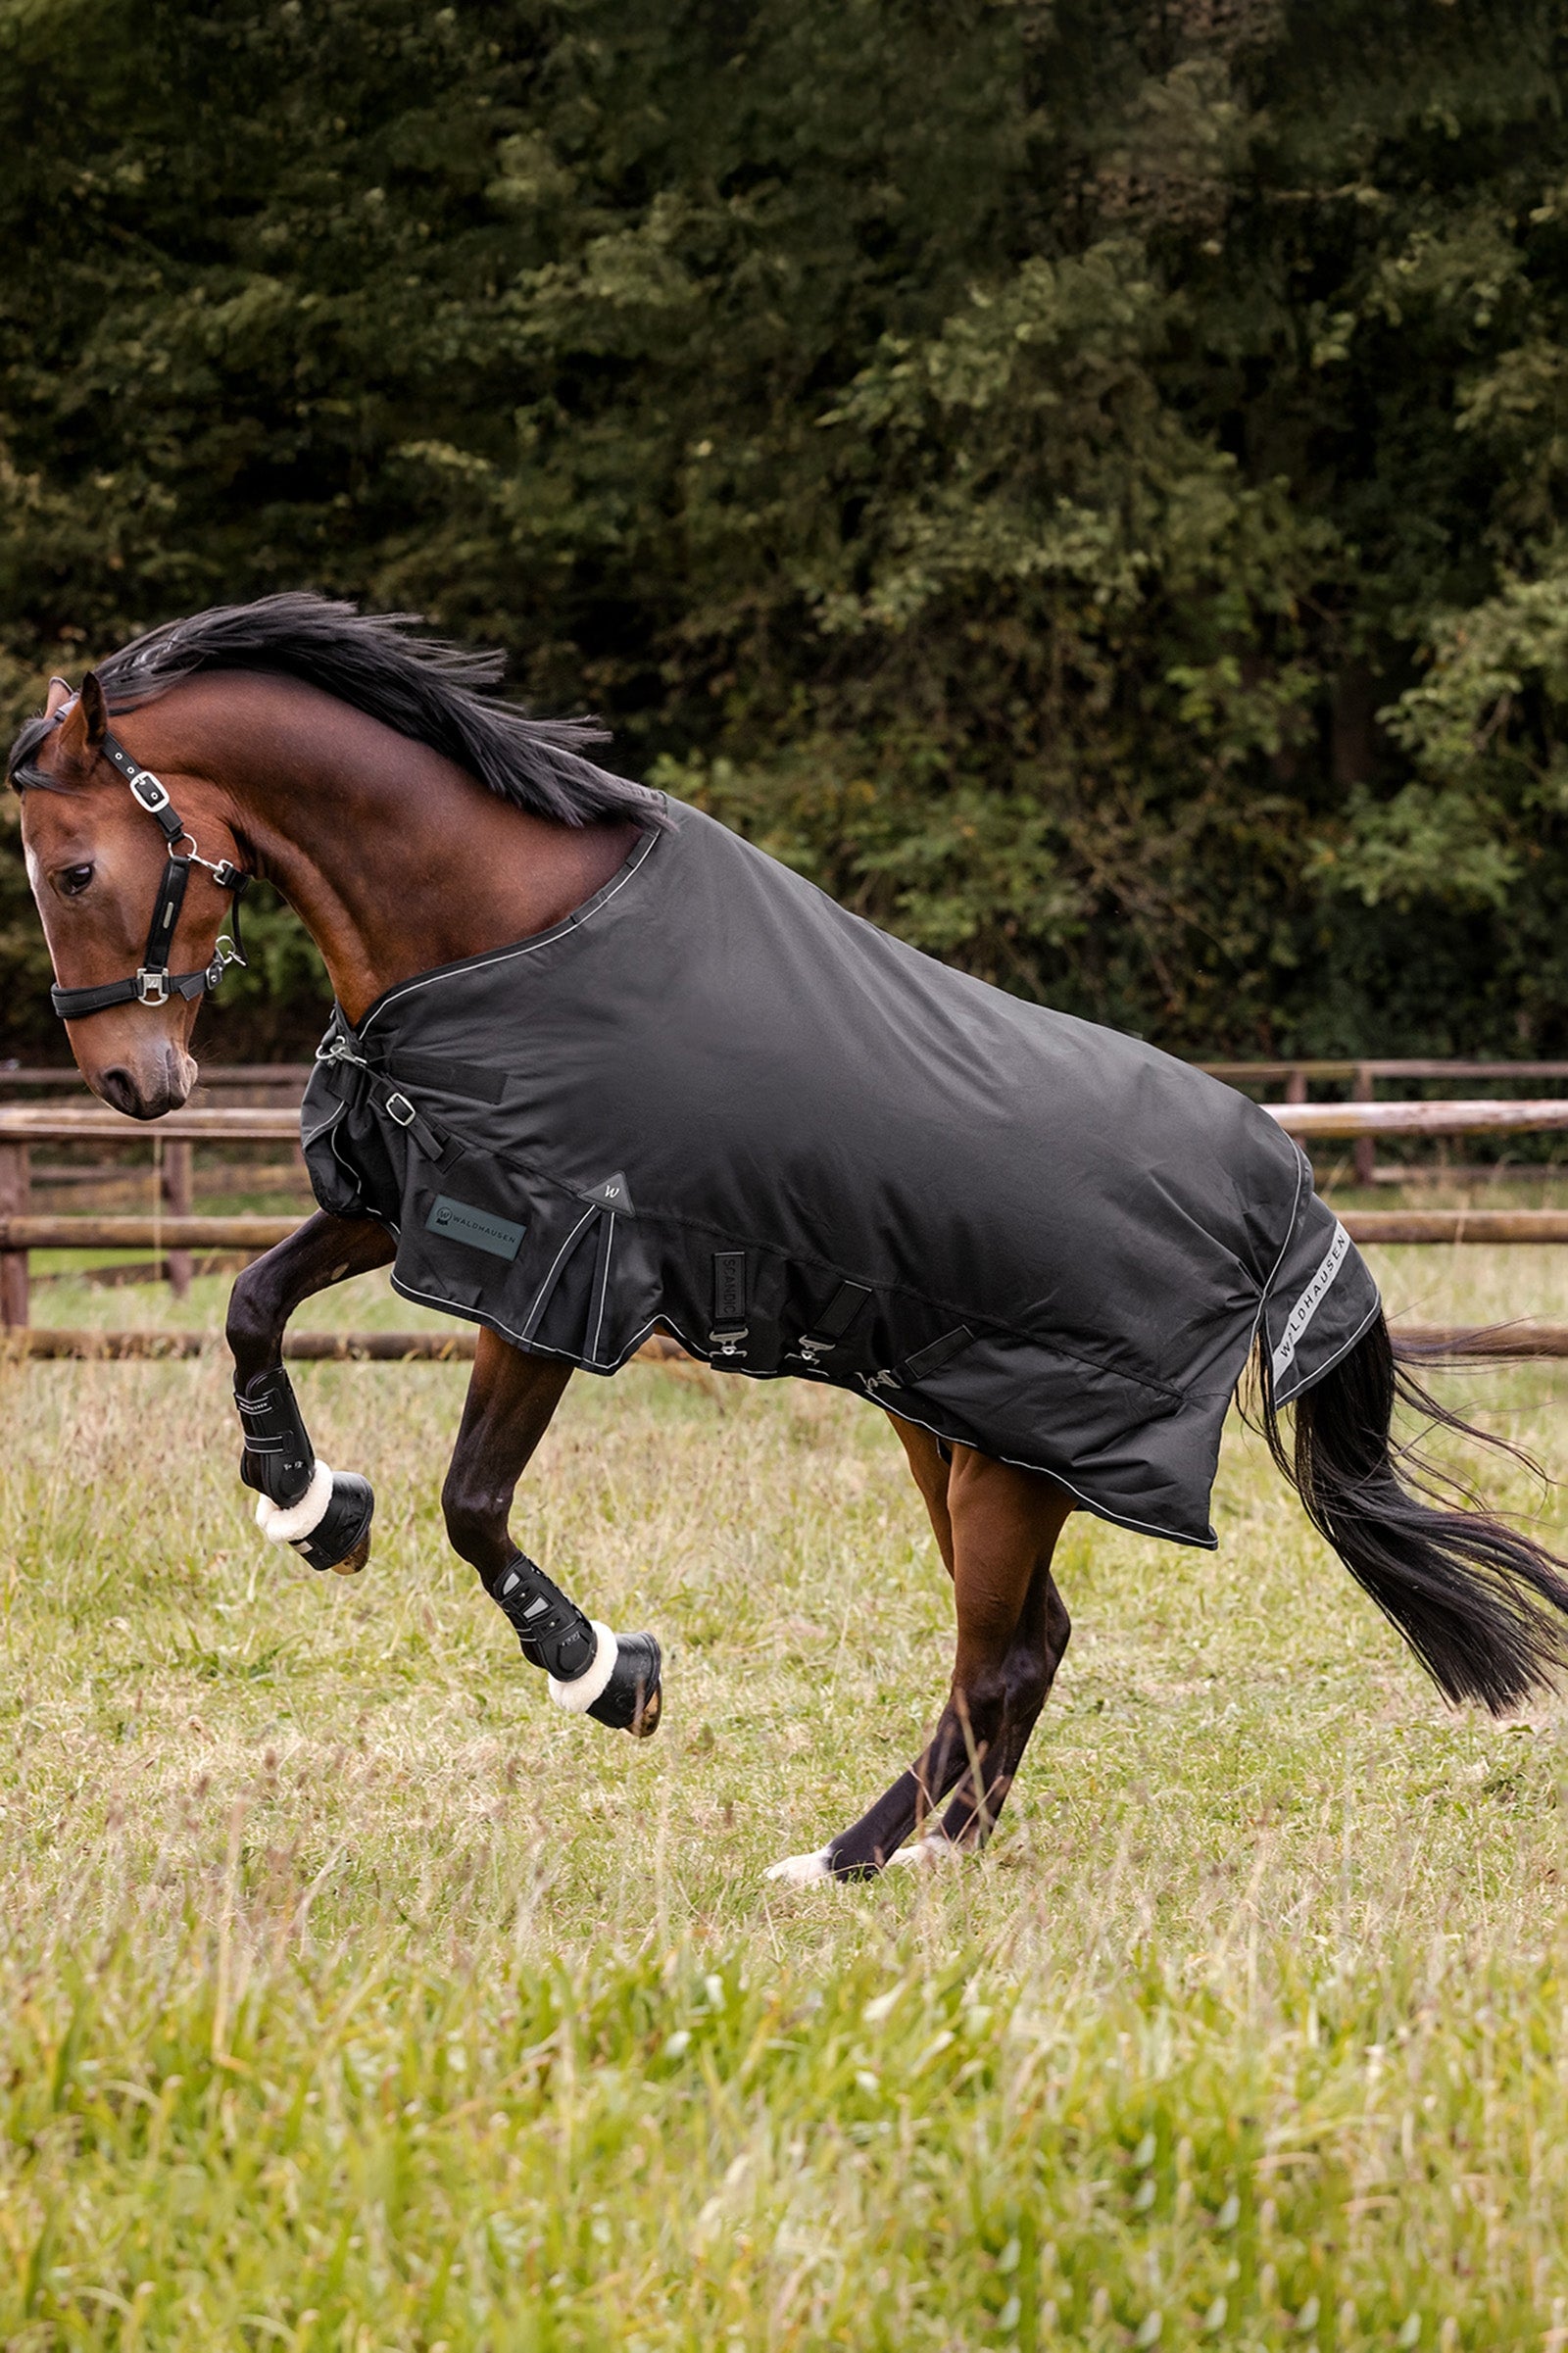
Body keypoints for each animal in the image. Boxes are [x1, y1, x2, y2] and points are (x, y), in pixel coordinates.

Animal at [13, 594, 1568, 1885]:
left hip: (1012, 1461)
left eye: (76, 868)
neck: (504, 927)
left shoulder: (554, 1263)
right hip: (953, 1430)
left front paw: (606, 1673)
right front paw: (308, 1504)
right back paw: (917, 1852)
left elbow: (472, 1502)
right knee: (1027, 1649)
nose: (132, 1083)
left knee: (999, 1658)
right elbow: (249, 1304)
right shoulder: (420, 1191)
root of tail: (1283, 1194)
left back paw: (854, 1862)